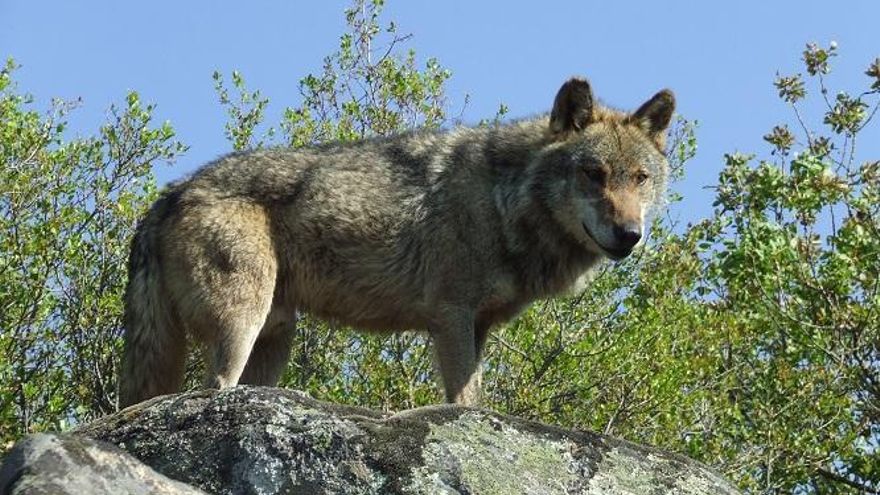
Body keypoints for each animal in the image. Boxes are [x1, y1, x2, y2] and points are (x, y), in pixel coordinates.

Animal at [118, 77, 672, 408]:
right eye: (594, 174)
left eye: (640, 178)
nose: (630, 235)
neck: (502, 199)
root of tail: (171, 192)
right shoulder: (450, 315)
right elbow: (462, 402)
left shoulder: (479, 325)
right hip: (242, 325)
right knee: (213, 389)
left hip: (276, 337)